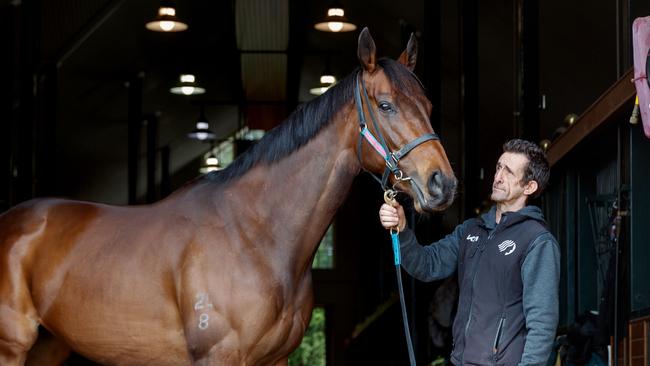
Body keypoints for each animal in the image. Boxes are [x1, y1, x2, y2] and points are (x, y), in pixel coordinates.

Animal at [1, 29, 456, 366]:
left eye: (429, 104)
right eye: (386, 105)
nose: (443, 184)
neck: (254, 233)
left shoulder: (274, 360)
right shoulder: (220, 356)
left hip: (48, 348)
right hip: (13, 347)